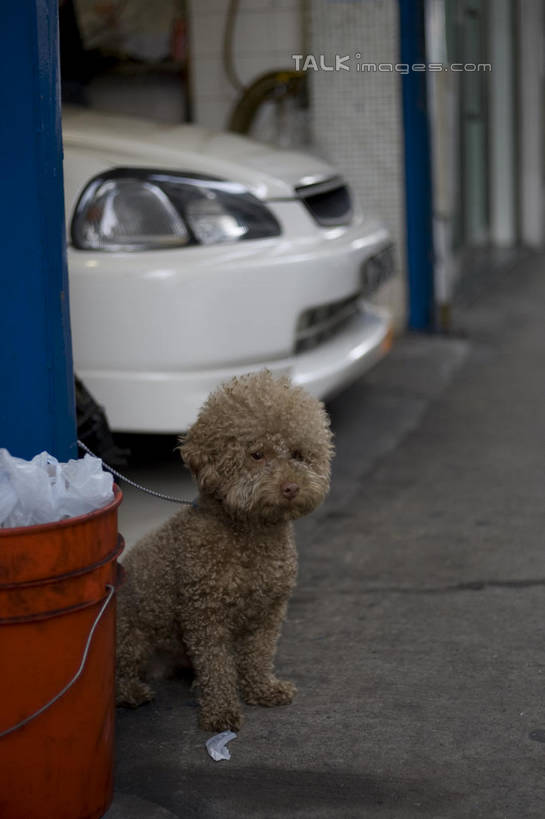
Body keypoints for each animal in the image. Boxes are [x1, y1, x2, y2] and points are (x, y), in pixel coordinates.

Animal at [116, 372, 332, 732]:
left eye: (298, 454)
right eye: (256, 455)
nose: (291, 488)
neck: (251, 535)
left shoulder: (269, 611)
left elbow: (259, 655)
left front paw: (262, 690)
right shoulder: (205, 614)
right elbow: (216, 666)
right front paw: (221, 712)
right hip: (130, 636)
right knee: (118, 674)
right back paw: (132, 692)